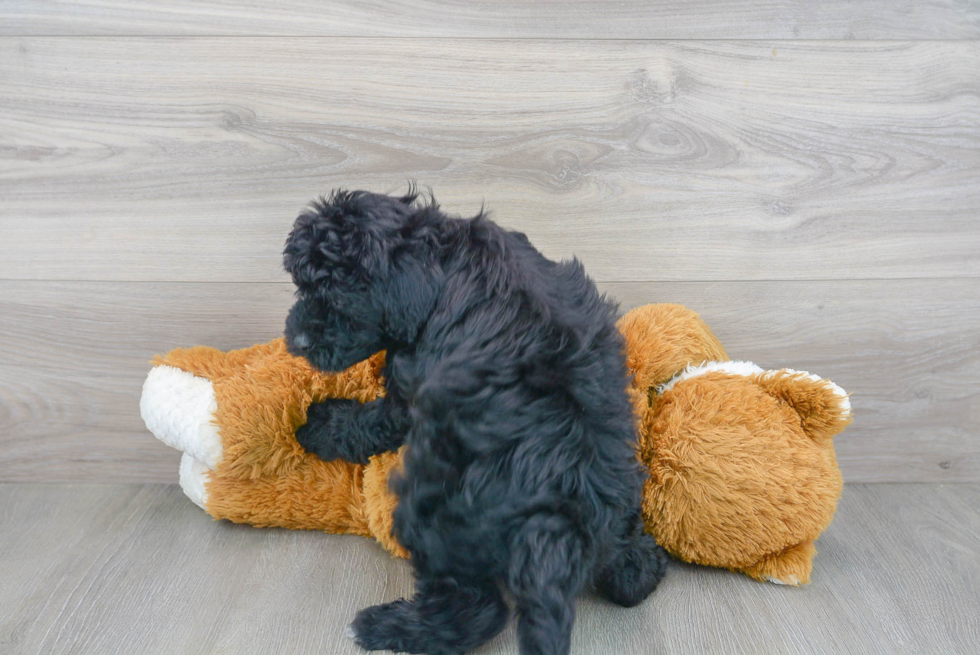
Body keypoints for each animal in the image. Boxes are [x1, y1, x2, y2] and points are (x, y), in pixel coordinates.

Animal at [282, 188, 668, 655]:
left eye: (340, 296)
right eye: (302, 285)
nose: (297, 338)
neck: (442, 260)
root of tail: (559, 519)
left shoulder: (411, 387)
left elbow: (374, 420)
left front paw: (320, 424)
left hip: (436, 514)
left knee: (477, 610)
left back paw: (385, 626)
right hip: (621, 493)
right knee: (627, 567)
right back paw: (643, 564)